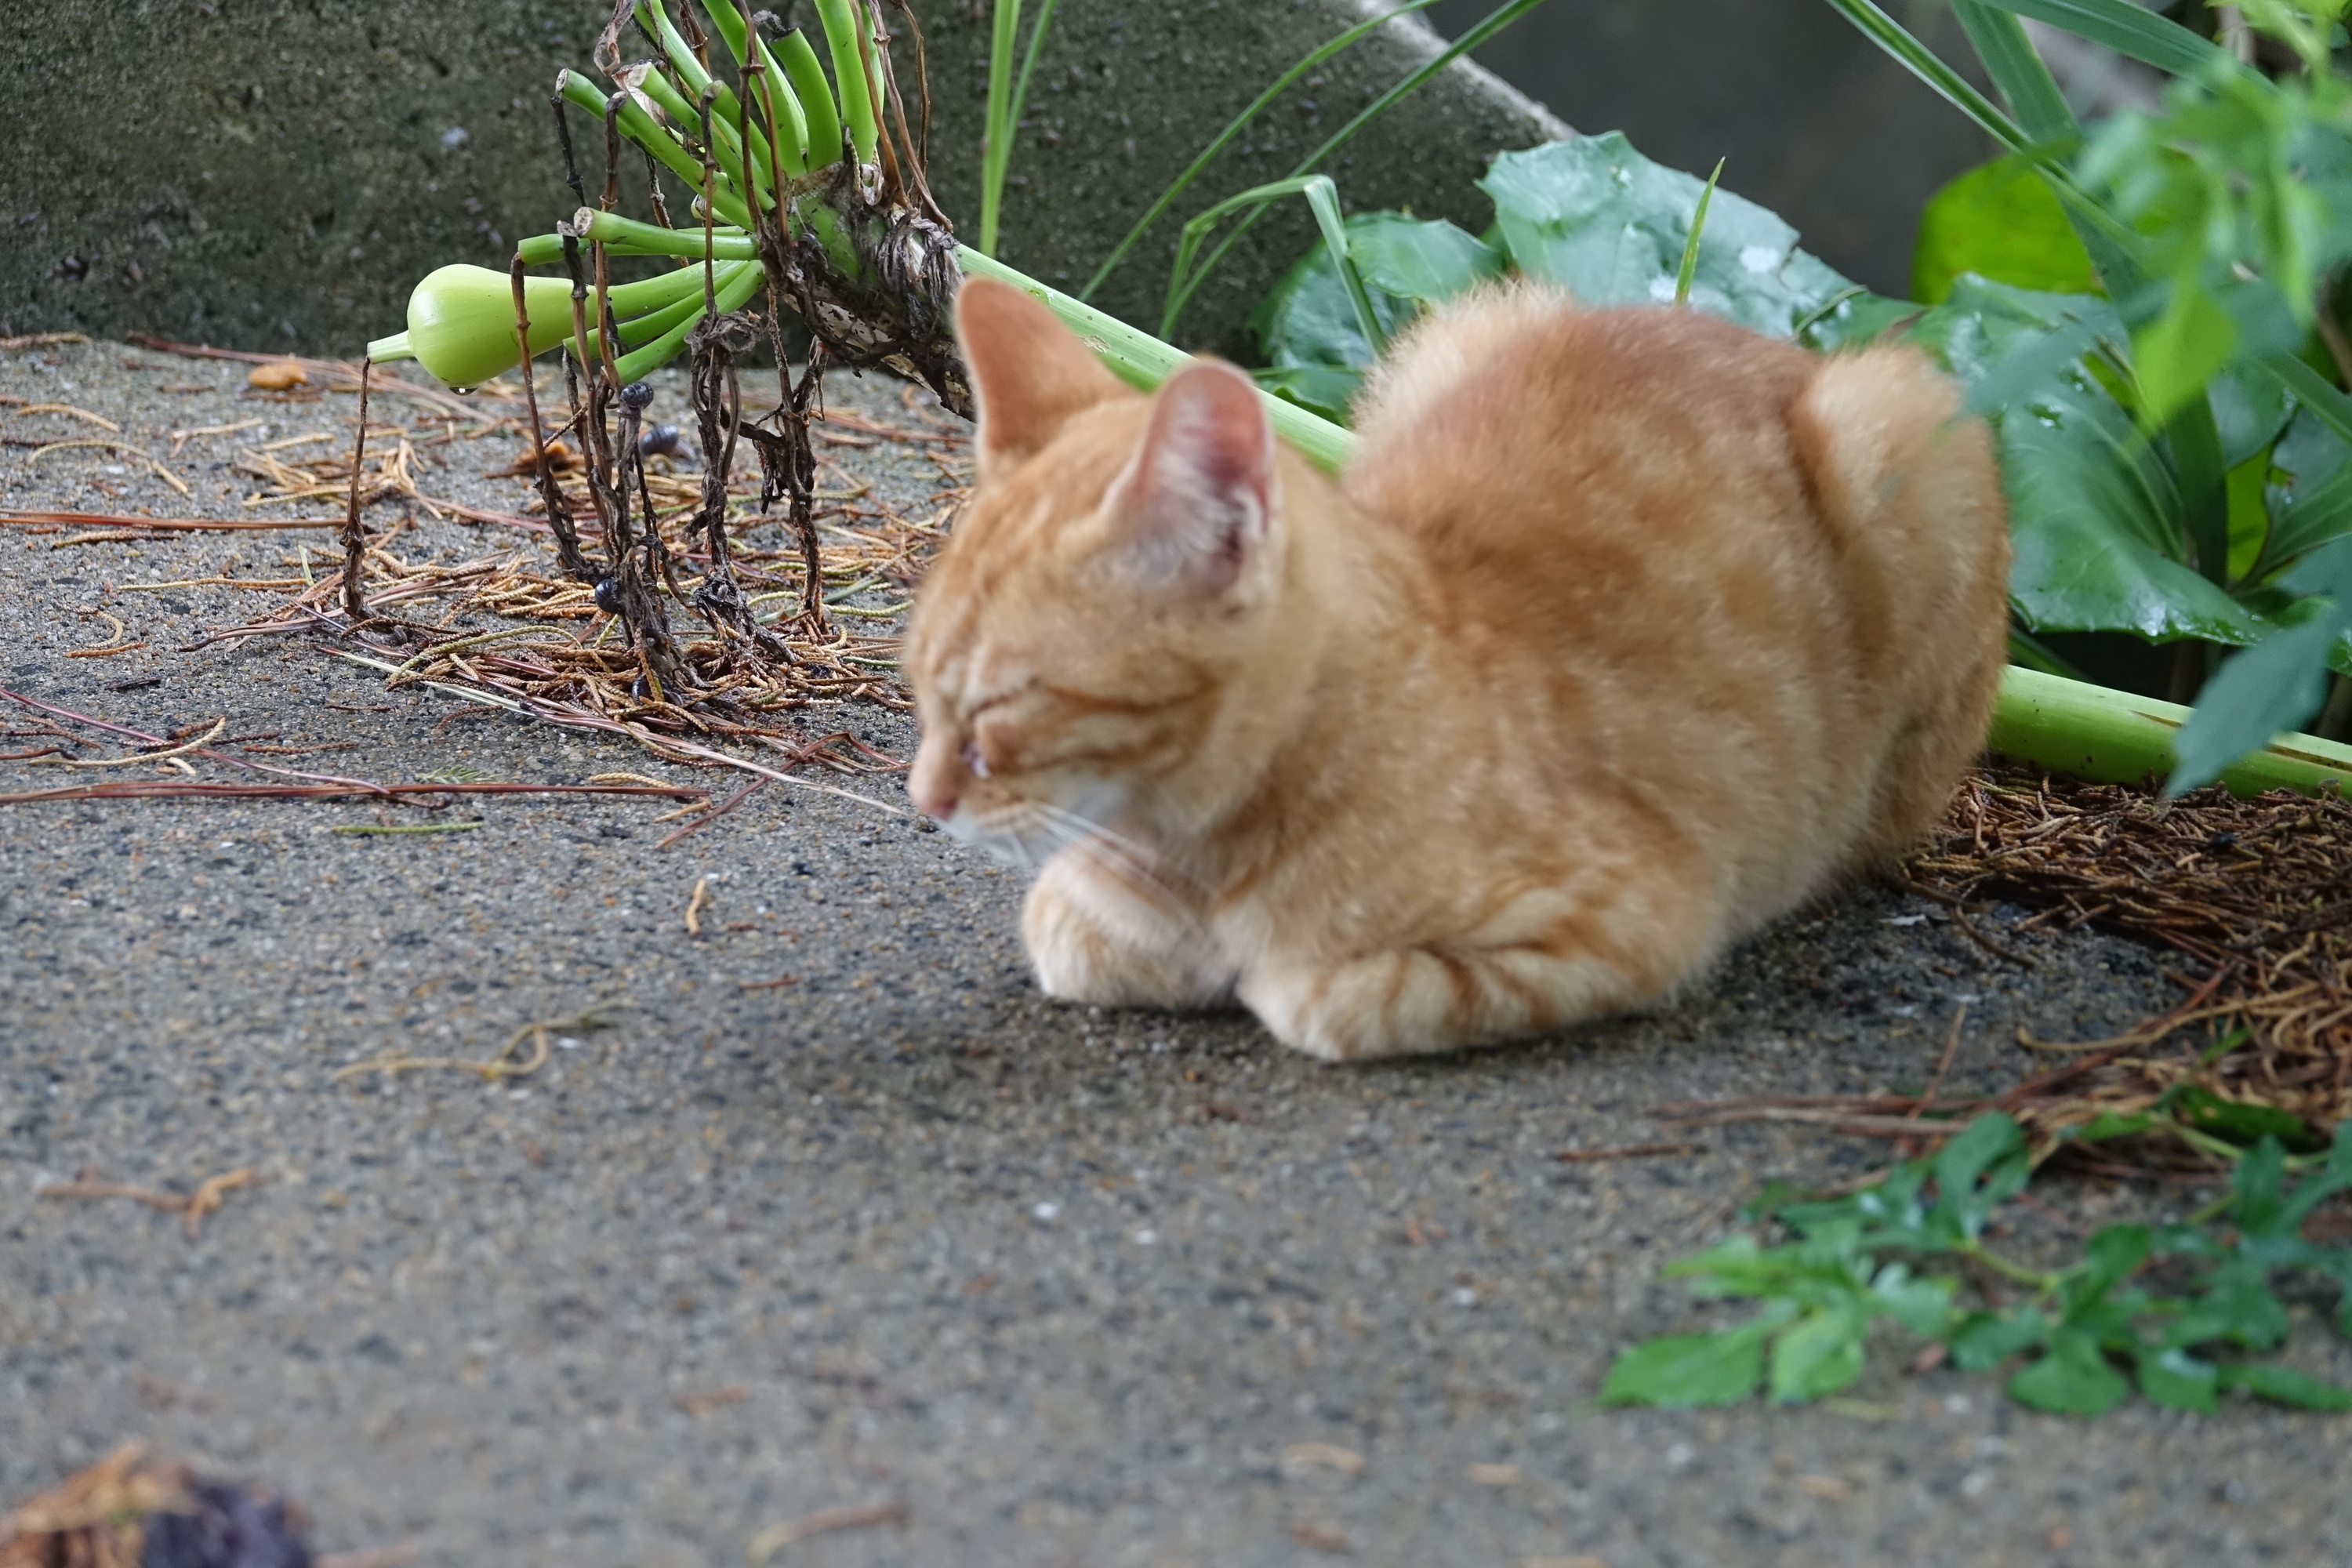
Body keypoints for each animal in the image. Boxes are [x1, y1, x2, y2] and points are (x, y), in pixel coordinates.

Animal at [898, 278, 2004, 1067]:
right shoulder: (1081, 913)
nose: (923, 802)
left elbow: (1319, 997)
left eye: (1006, 700)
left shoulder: (1640, 921)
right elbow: (1074, 928)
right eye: (918, 685)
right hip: (1462, 329)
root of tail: (1771, 340)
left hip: (1903, 436)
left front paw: (1269, 973)